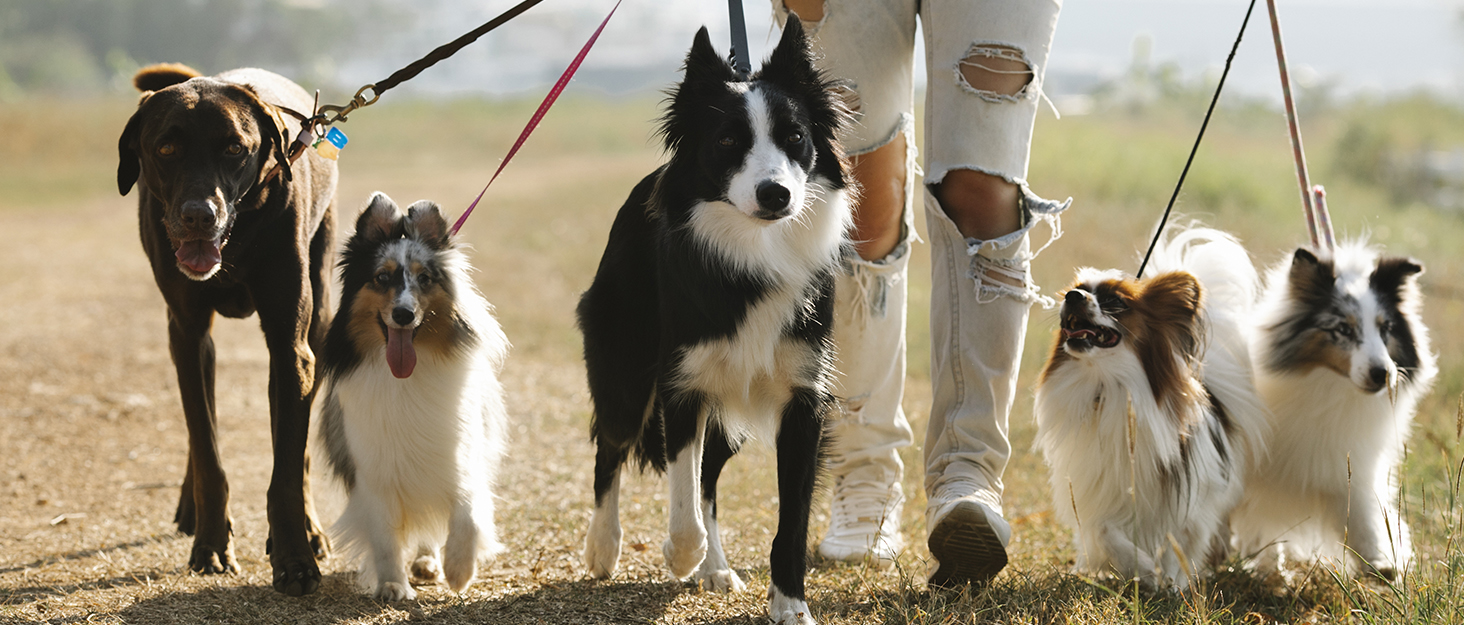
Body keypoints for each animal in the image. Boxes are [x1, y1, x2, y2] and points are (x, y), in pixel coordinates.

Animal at [316, 191, 509, 603]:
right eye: (381, 277)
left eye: (425, 278)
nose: (403, 315)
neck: (405, 379)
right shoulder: (373, 471)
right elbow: (385, 538)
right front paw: (393, 585)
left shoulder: (460, 456)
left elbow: (468, 513)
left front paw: (459, 571)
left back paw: (430, 562)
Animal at [1030, 226, 1270, 588]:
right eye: (1079, 289)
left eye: (1115, 301)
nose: (1072, 296)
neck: (1108, 385)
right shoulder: (1099, 486)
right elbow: (1104, 531)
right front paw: (1141, 569)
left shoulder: (1188, 499)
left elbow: (1178, 544)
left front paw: (1170, 582)